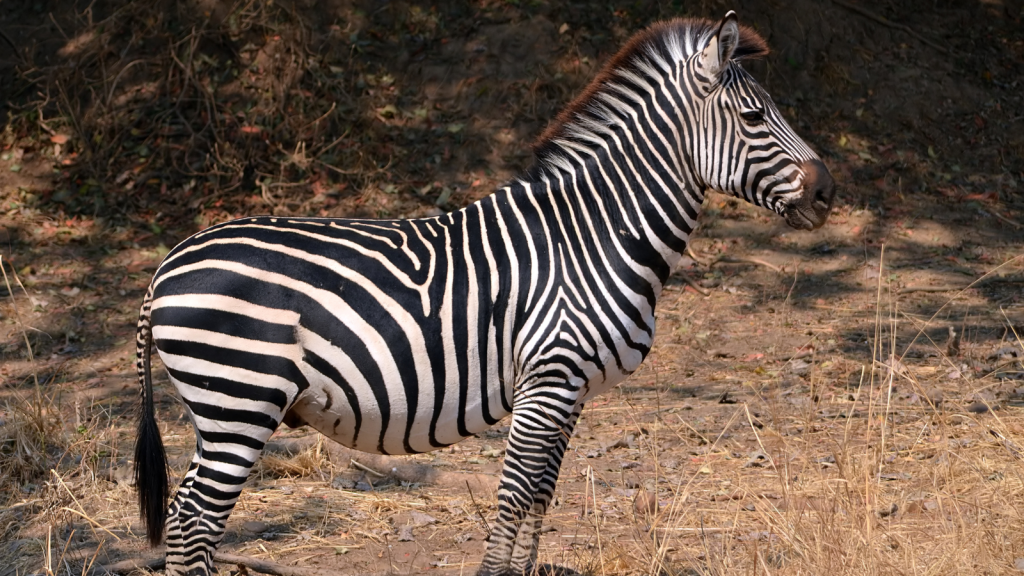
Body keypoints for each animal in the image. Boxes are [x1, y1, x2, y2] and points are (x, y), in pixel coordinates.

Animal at [134, 12, 831, 573]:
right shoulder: (549, 380)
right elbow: (516, 493)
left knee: (186, 519)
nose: (828, 191)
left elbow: (541, 494)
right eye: (754, 117)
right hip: (239, 400)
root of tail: (168, 263)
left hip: (224, 406)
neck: (592, 233)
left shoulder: (567, 389)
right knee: (194, 519)